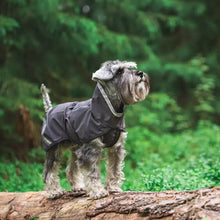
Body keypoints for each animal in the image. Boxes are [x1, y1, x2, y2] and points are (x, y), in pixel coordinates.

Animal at [40, 59, 150, 199]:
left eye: (130, 67)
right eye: (119, 71)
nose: (140, 73)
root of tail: (49, 109)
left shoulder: (116, 147)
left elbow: (114, 169)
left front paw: (113, 187)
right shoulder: (91, 149)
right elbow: (92, 172)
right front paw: (98, 191)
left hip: (75, 147)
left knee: (70, 168)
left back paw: (77, 186)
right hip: (54, 148)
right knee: (49, 171)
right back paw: (54, 191)